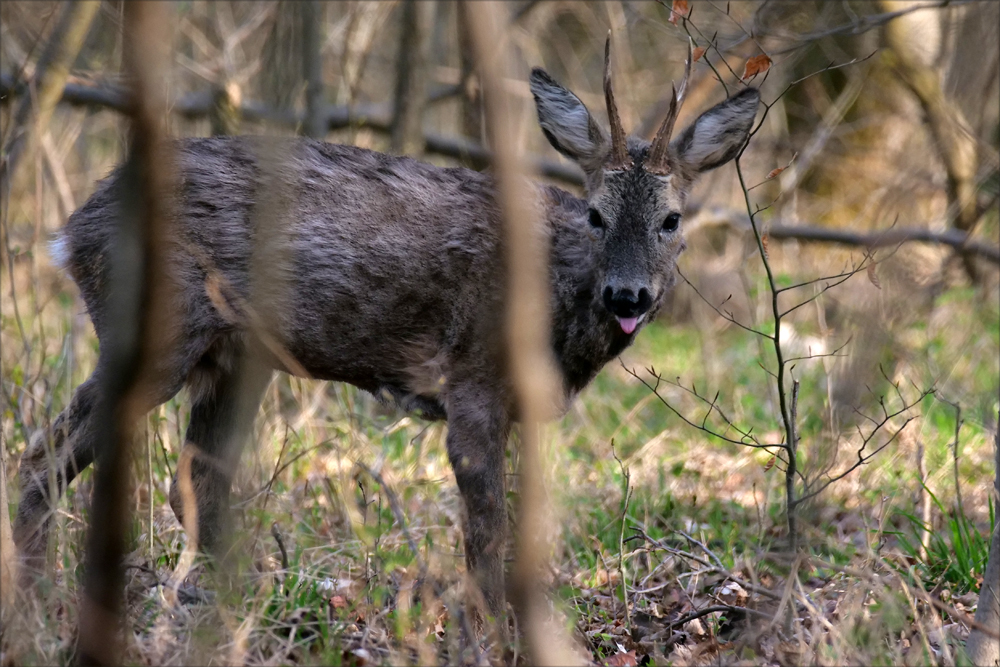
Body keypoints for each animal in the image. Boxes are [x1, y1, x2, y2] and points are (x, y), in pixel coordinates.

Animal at [13, 44, 756, 620]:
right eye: (597, 214)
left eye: (672, 219)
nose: (627, 294)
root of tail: (74, 228)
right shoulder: (473, 377)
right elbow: (486, 526)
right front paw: (492, 629)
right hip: (159, 331)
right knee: (45, 454)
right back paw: (41, 601)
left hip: (236, 357)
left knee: (193, 480)